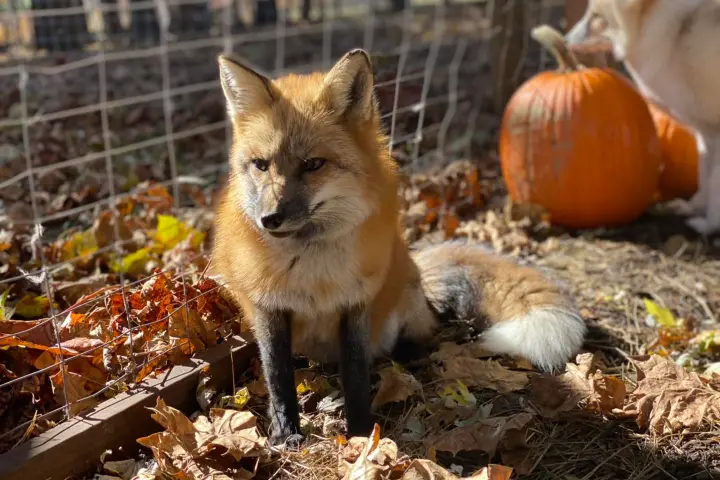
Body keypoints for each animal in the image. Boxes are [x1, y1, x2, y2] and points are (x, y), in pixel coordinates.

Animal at [211, 49, 587, 448]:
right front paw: (285, 434)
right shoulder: (269, 309)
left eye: (313, 164)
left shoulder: (356, 303)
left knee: (421, 336)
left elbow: (355, 372)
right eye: (260, 165)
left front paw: (361, 433)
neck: (312, 270)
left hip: (402, 313)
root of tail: (416, 268)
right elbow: (279, 378)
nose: (269, 219)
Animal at [564, 0, 720, 236]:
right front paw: (693, 208)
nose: (564, 40)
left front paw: (709, 225)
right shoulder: (705, 133)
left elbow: (715, 186)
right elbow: (705, 178)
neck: (671, 36)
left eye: (597, 17)